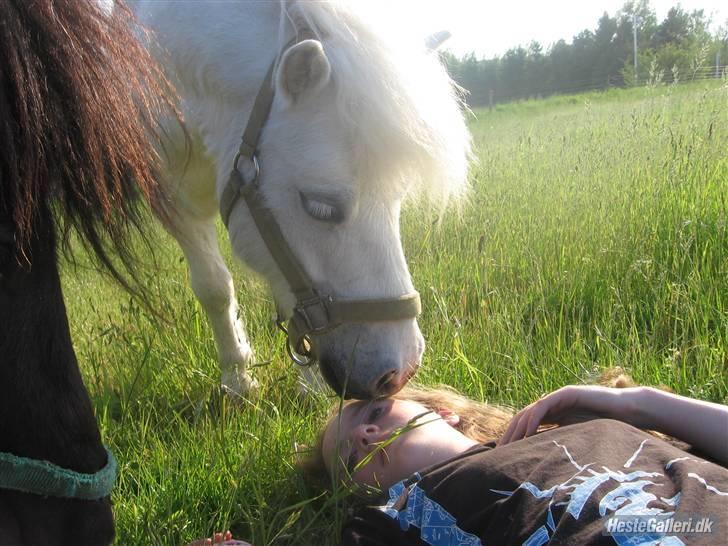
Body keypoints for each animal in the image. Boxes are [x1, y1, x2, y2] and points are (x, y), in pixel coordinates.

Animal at [131, 0, 472, 399]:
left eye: (397, 198)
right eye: (319, 207)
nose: (400, 372)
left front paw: (310, 387)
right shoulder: (174, 202)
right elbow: (214, 288)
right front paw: (238, 379)